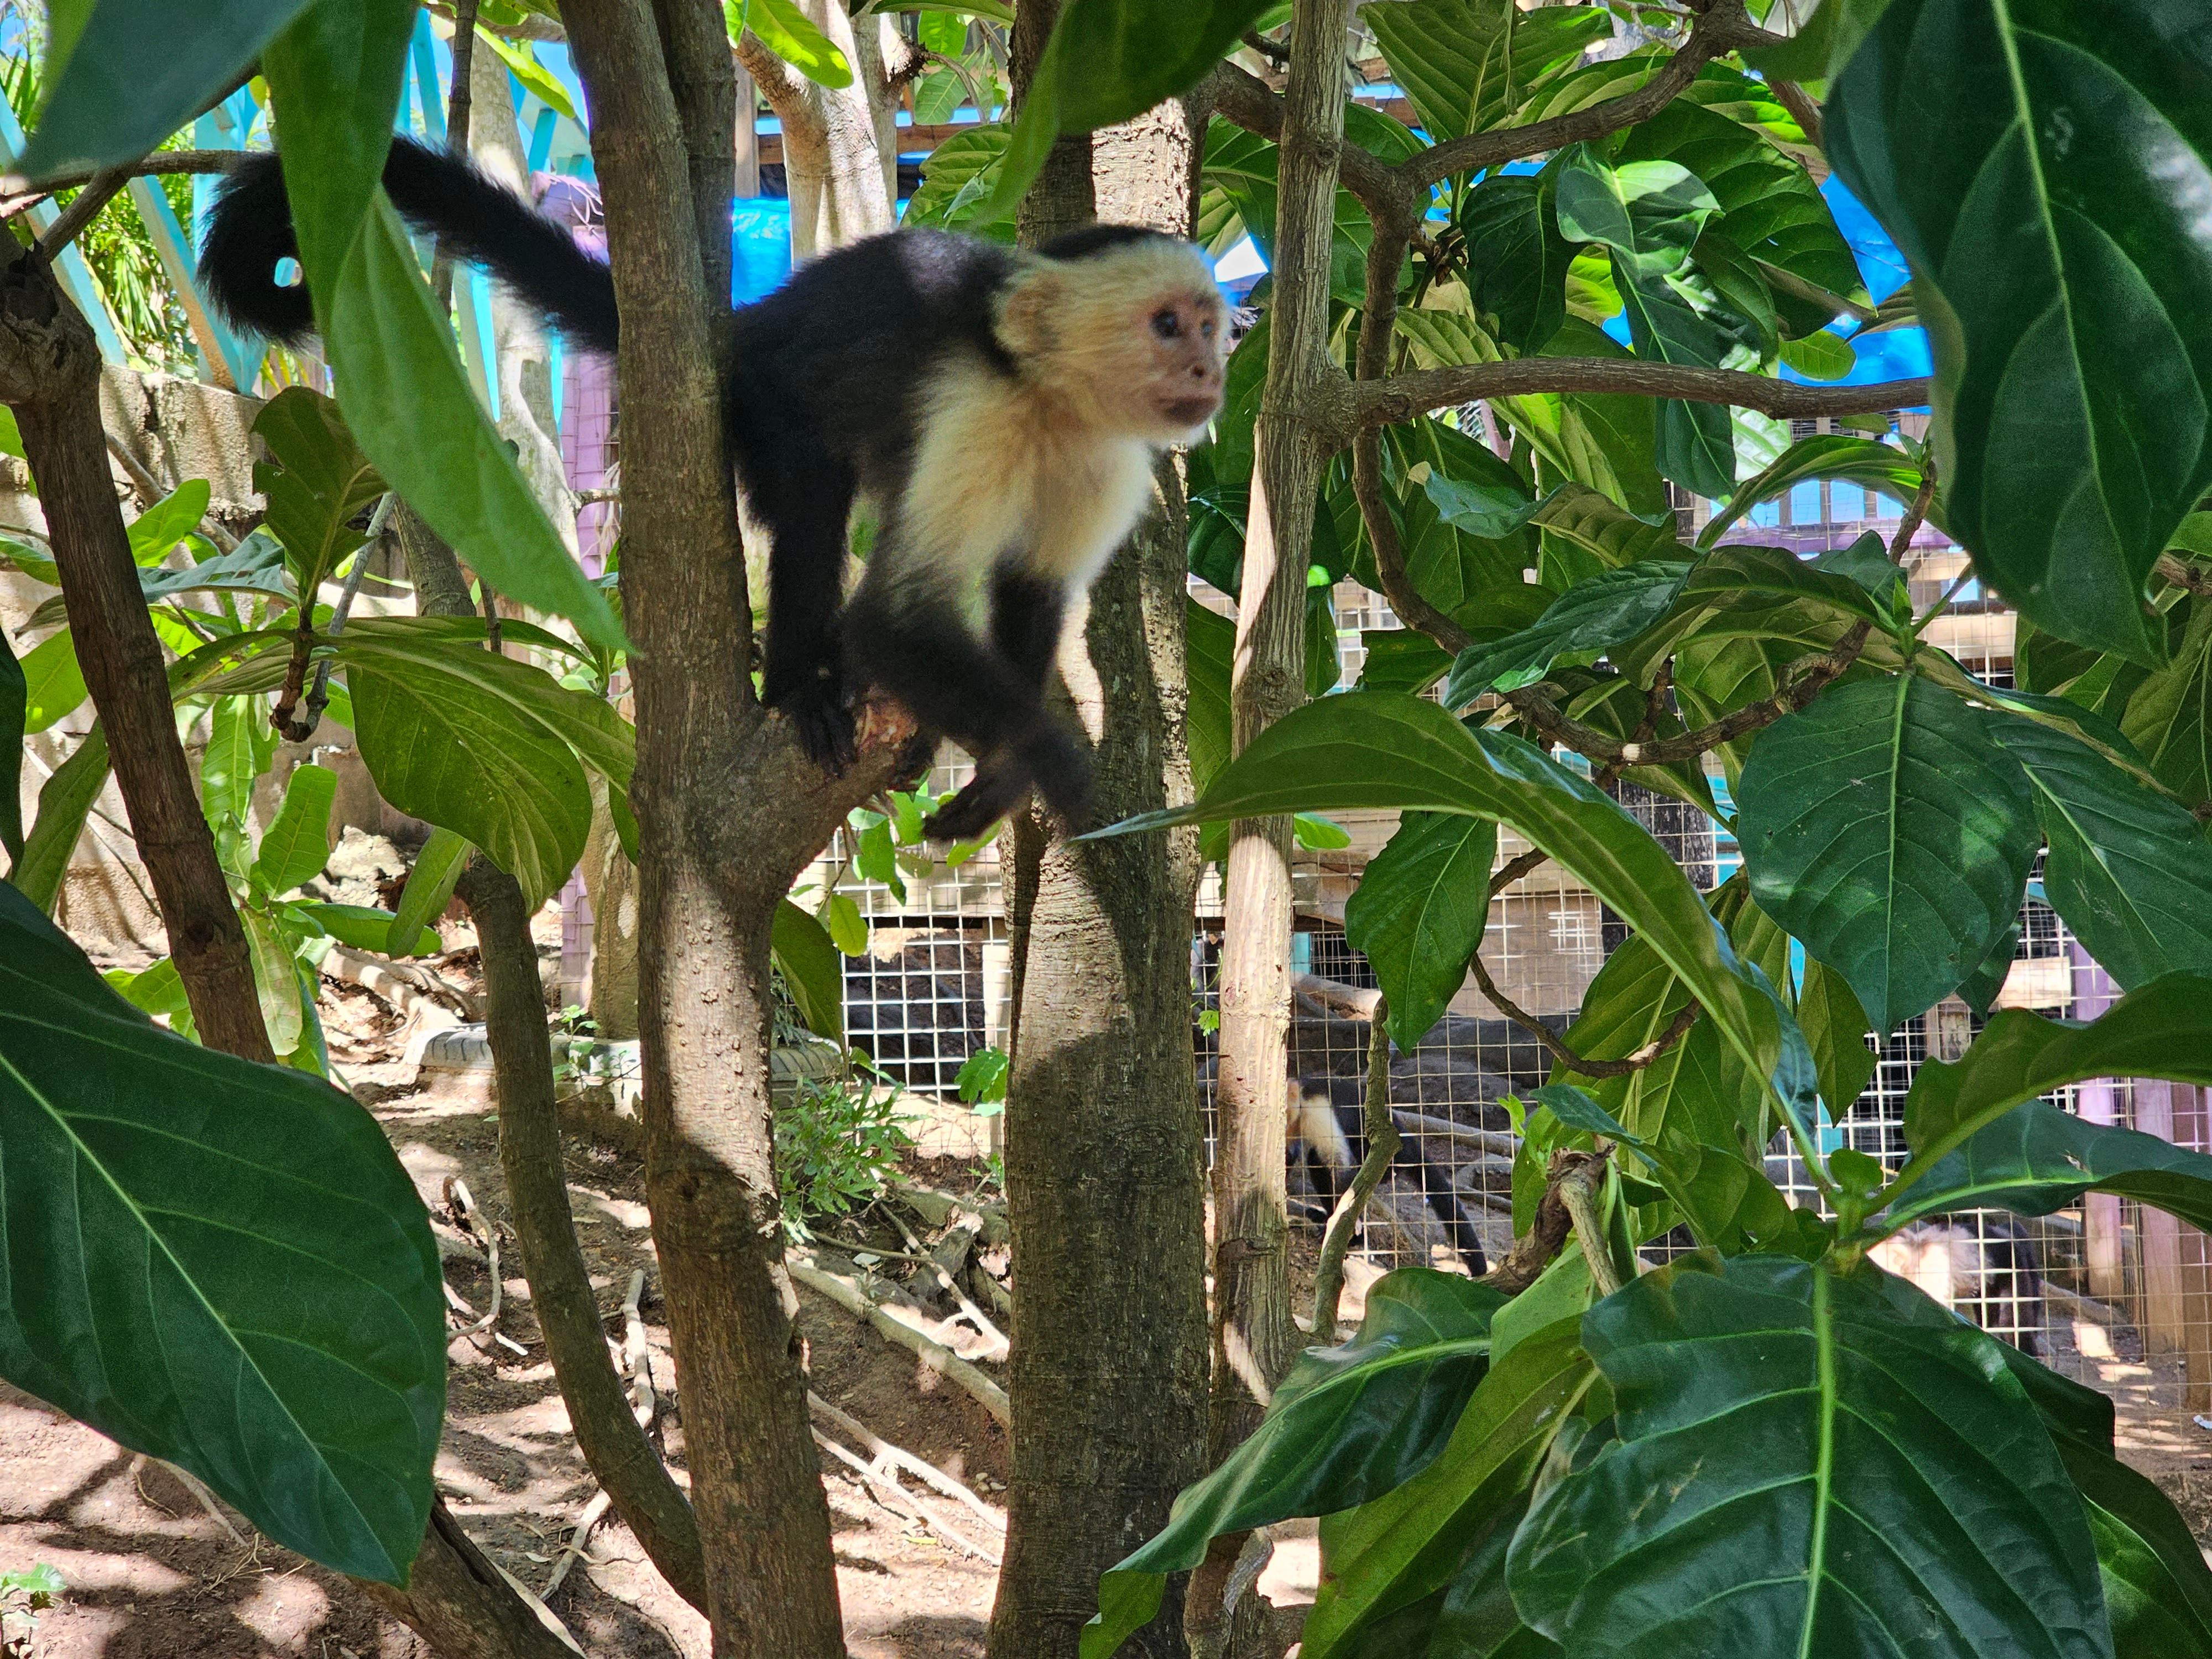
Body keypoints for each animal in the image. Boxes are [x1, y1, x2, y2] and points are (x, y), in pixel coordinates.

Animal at [196, 138, 1229, 840]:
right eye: (1165, 323)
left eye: (1211, 324)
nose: (1212, 371)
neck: (1053, 401)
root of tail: (751, 321)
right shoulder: (978, 409)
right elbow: (896, 617)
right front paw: (1052, 757)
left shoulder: (1112, 459)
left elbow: (1032, 595)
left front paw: (1003, 775)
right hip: (768, 403)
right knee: (813, 510)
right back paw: (804, 688)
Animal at [1287, 1074, 1491, 1274]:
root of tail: (1408, 1140)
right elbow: (1287, 1157)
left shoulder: (1315, 1108)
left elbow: (1340, 1165)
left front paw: (1344, 1227)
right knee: (1317, 1162)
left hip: (1392, 1157)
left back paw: (1349, 1234)